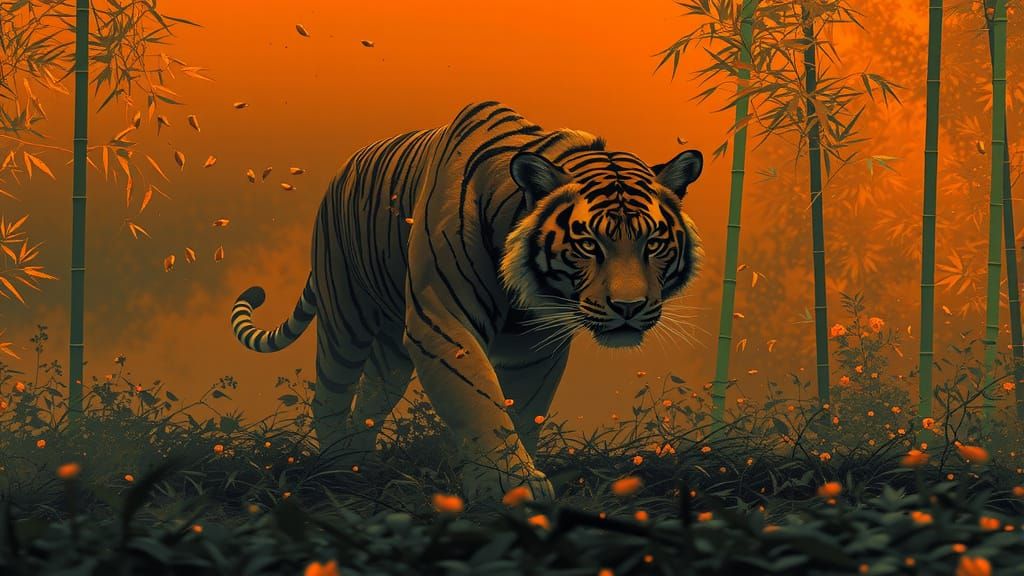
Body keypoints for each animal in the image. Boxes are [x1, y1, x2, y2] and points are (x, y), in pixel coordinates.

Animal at [230, 101, 704, 502]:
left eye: (653, 243)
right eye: (589, 244)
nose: (628, 307)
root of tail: (341, 171)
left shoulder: (536, 346)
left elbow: (524, 410)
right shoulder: (440, 320)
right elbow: (477, 398)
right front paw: (509, 485)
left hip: (391, 349)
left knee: (371, 396)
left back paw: (361, 462)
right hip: (345, 314)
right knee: (330, 391)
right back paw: (337, 469)